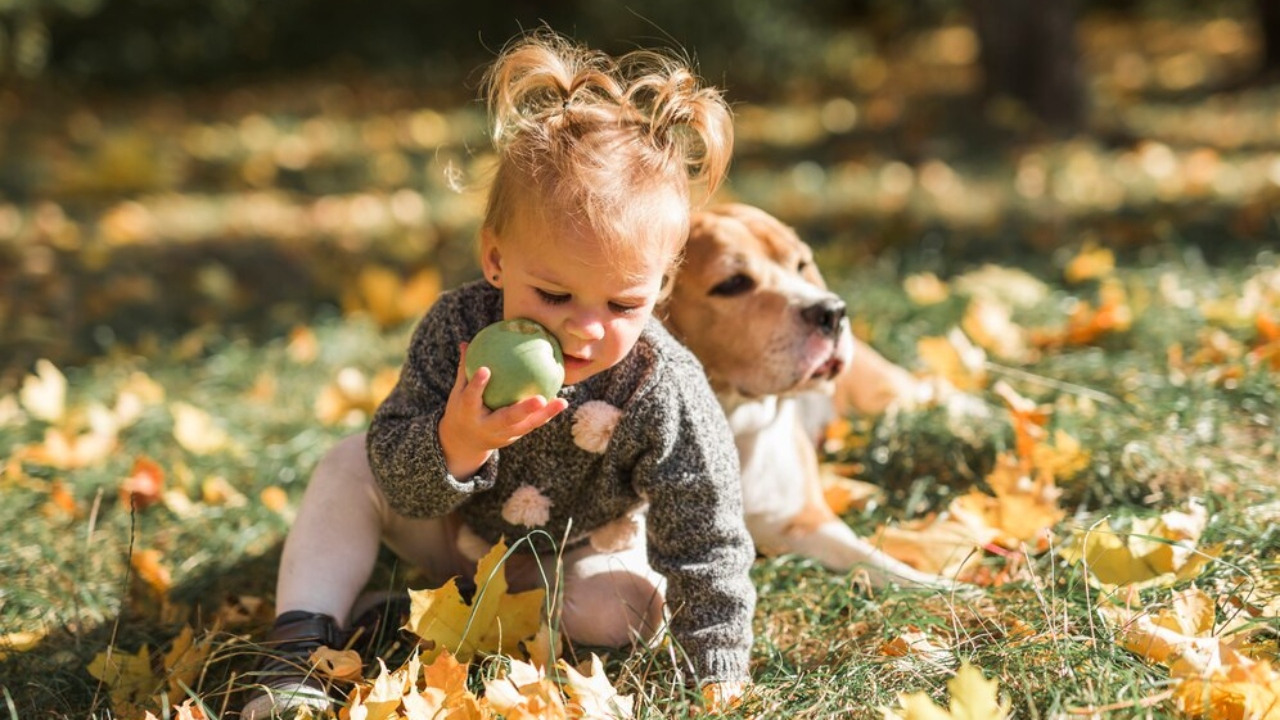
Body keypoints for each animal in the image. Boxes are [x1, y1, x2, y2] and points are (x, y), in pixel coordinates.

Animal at [665, 202, 957, 589]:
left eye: (801, 265)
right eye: (733, 283)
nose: (832, 311)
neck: (736, 420)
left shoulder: (807, 522)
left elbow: (875, 558)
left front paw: (948, 589)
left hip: (888, 392)